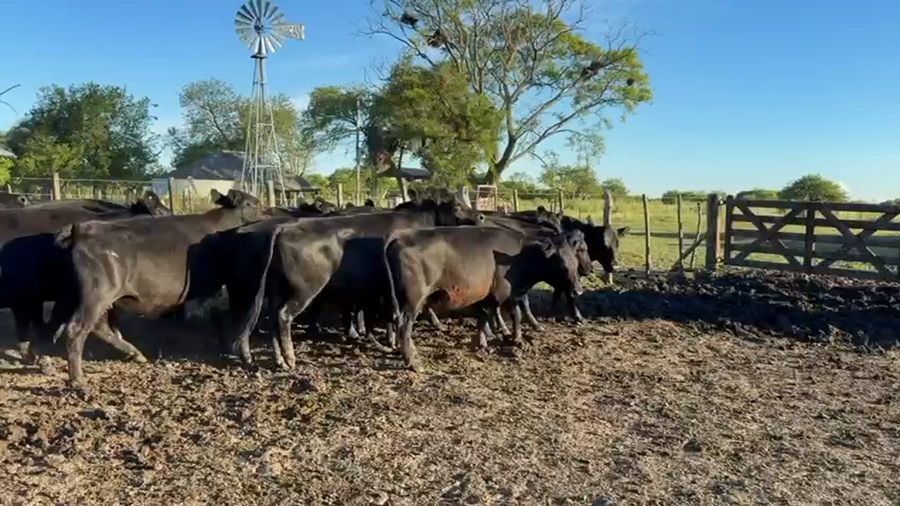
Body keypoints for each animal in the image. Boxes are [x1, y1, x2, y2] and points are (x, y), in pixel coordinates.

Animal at [56, 189, 269, 389]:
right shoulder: (215, 284)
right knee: (77, 330)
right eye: (254, 204)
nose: (268, 213)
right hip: (97, 295)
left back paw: (135, 353)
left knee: (100, 327)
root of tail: (82, 228)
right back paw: (78, 381)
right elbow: (219, 316)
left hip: (103, 299)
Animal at [232, 196, 485, 370]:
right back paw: (291, 358)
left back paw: (280, 361)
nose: (481, 216)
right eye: (457, 206)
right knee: (283, 317)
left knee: (274, 321)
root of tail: (284, 228)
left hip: (278, 291)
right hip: (303, 290)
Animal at [383, 226, 586, 371]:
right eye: (561, 265)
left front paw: (483, 343)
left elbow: (483, 317)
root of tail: (399, 236)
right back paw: (413, 363)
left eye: (574, 263)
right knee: (404, 326)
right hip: (413, 301)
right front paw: (517, 339)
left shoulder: (486, 297)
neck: (519, 255)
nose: (578, 290)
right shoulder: (508, 294)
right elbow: (515, 315)